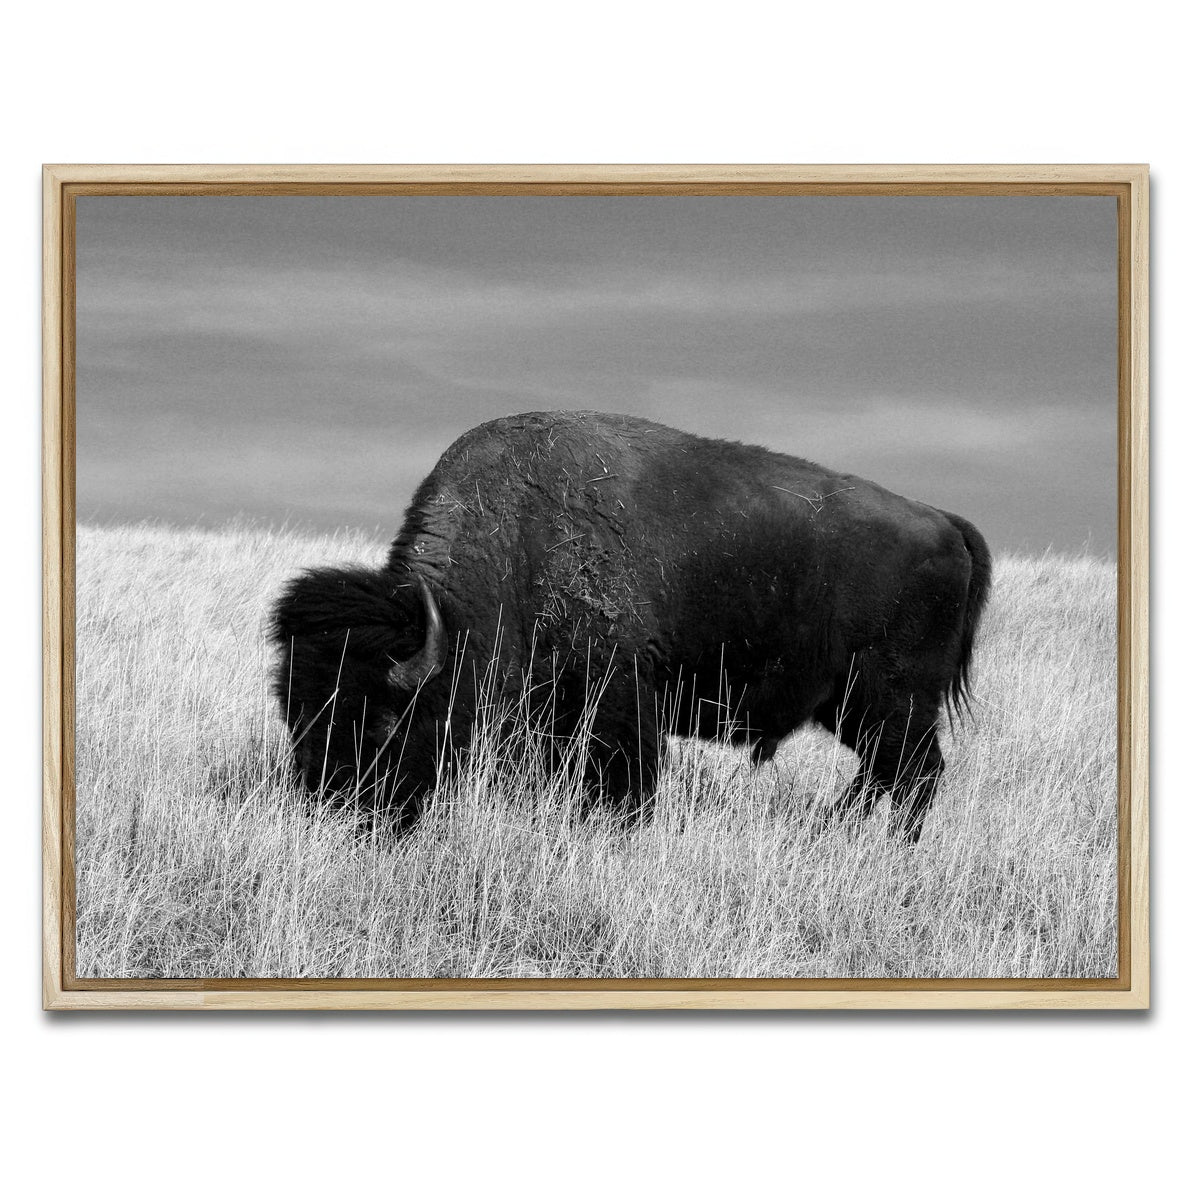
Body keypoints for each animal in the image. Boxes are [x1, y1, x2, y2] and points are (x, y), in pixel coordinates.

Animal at [271, 411, 990, 841]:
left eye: (383, 718)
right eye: (296, 712)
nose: (332, 808)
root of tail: (944, 521)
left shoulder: (618, 695)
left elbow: (626, 779)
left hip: (893, 699)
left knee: (913, 773)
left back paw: (886, 844)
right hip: (852, 706)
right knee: (885, 772)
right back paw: (838, 831)